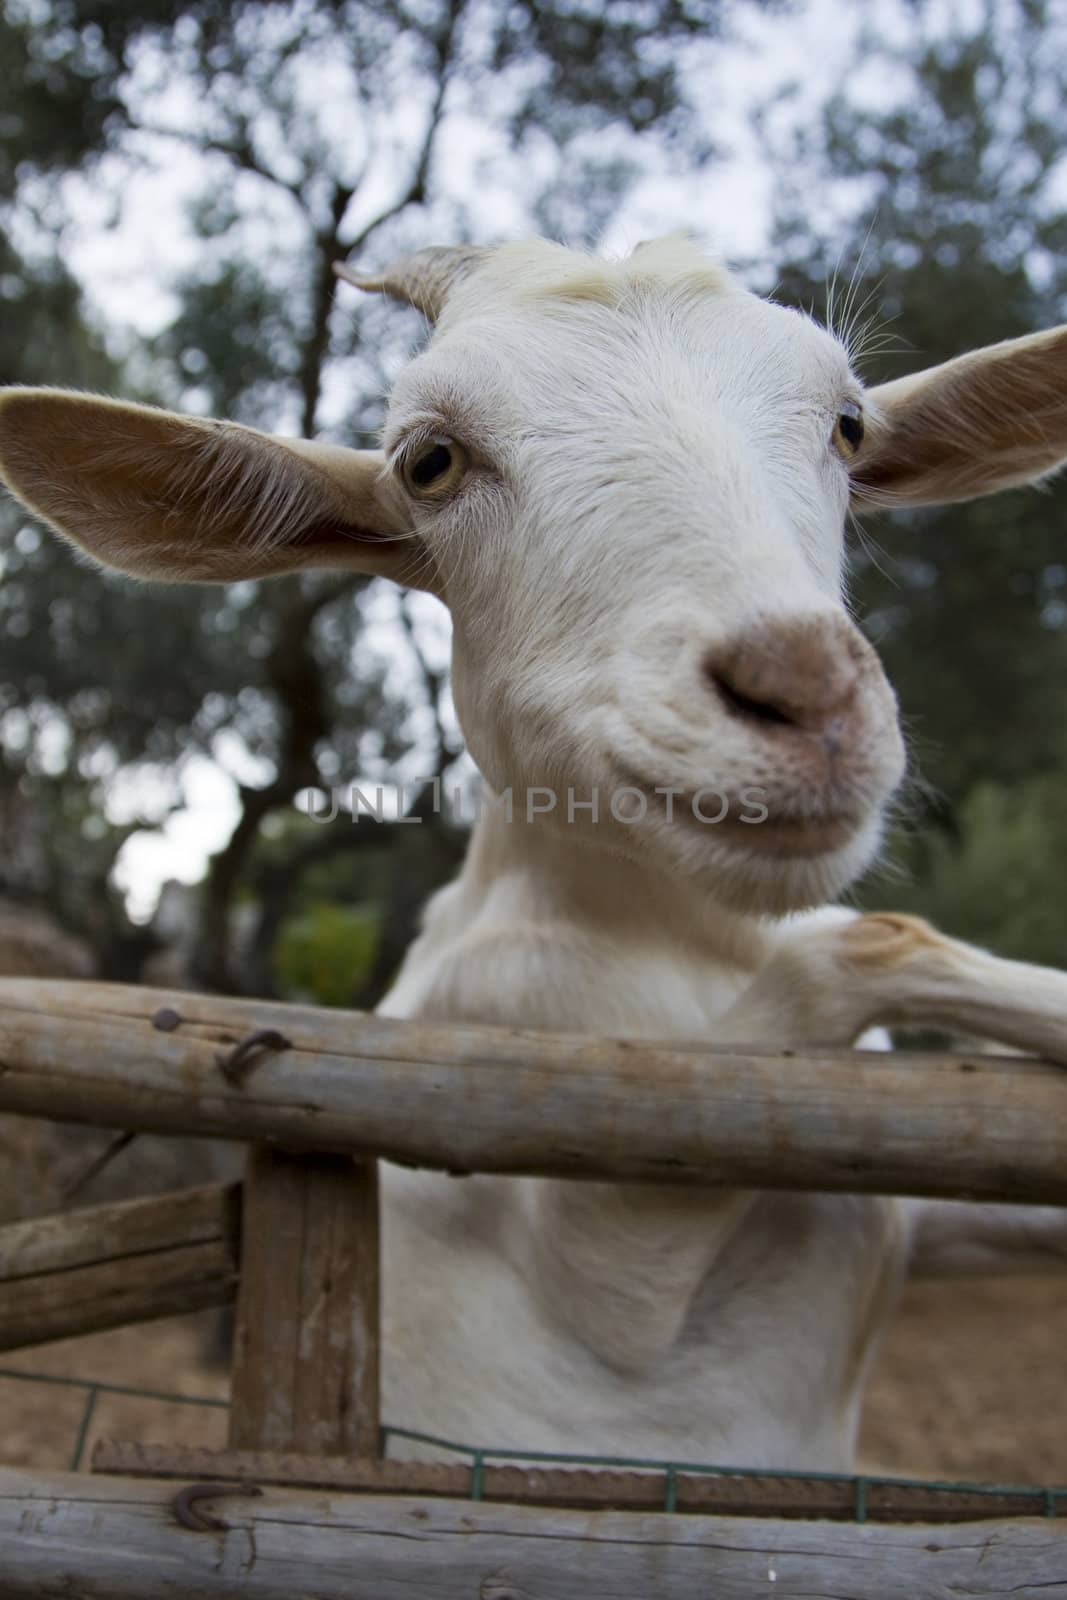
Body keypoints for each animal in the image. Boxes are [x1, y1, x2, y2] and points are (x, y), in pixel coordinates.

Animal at [2, 232, 1067, 1465]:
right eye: (429, 461)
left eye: (849, 424)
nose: (804, 698)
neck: (680, 949)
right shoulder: (599, 1193)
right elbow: (866, 940)